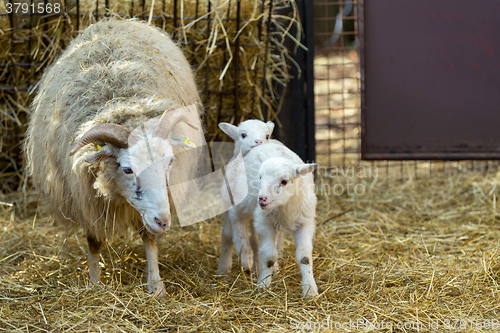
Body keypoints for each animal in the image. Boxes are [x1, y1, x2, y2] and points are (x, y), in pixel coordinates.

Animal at [24, 18, 204, 296]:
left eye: (170, 162)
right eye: (127, 169)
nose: (164, 221)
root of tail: (114, 20)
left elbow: (149, 238)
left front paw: (156, 285)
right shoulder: (85, 198)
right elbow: (94, 241)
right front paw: (94, 282)